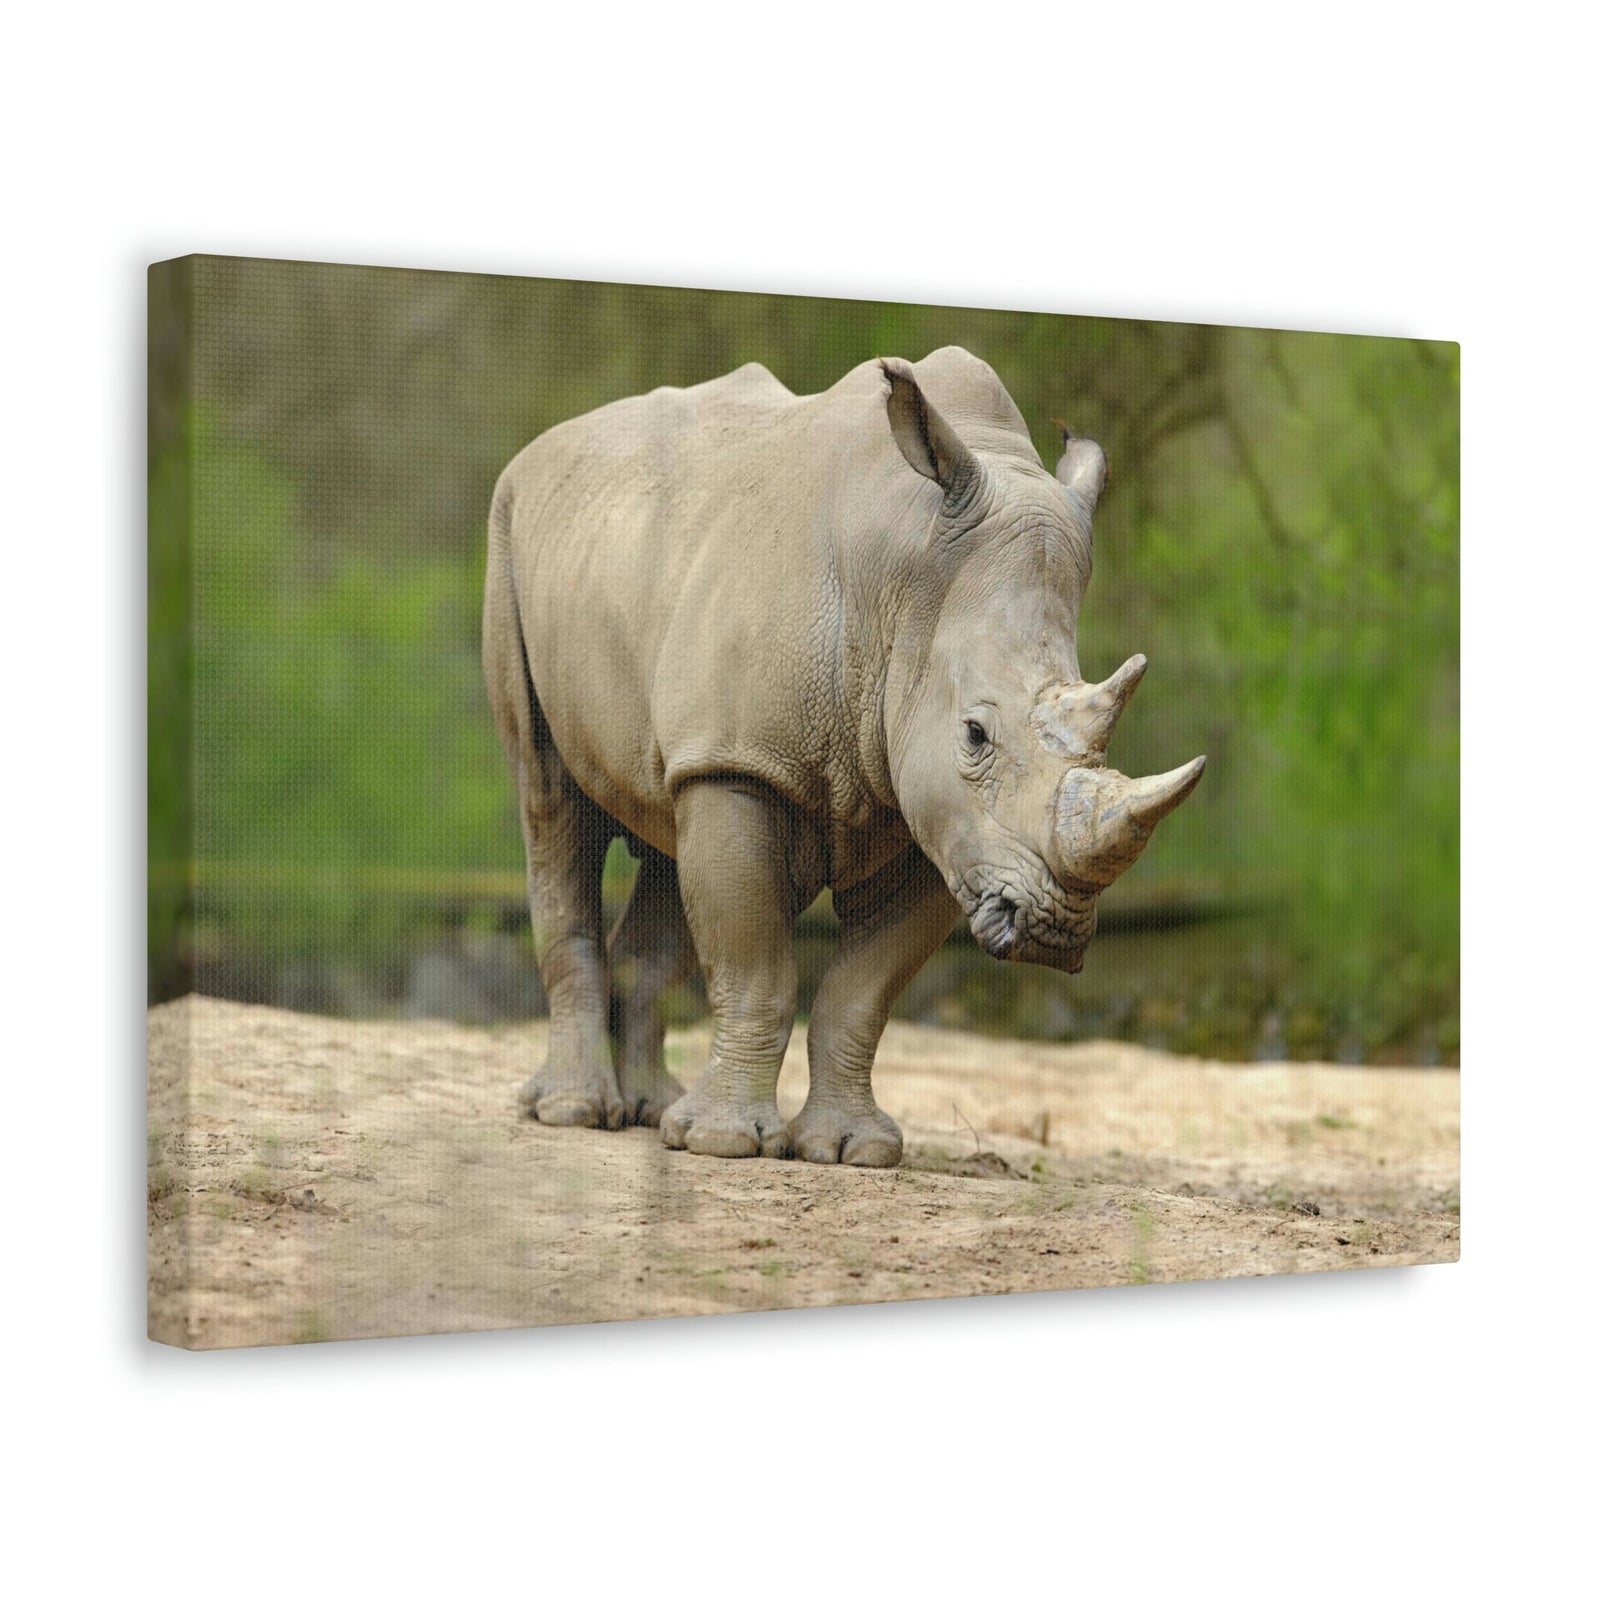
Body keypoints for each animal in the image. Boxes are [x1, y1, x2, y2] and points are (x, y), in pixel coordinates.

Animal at [483, 346, 1203, 1167]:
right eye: (975, 735)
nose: (1051, 930)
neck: (906, 582)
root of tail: (550, 444)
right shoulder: (745, 761)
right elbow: (756, 965)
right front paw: (723, 1144)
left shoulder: (944, 823)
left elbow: (861, 992)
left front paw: (851, 1150)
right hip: (512, 531)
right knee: (551, 802)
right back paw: (575, 1112)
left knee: (665, 826)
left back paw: (650, 1110)